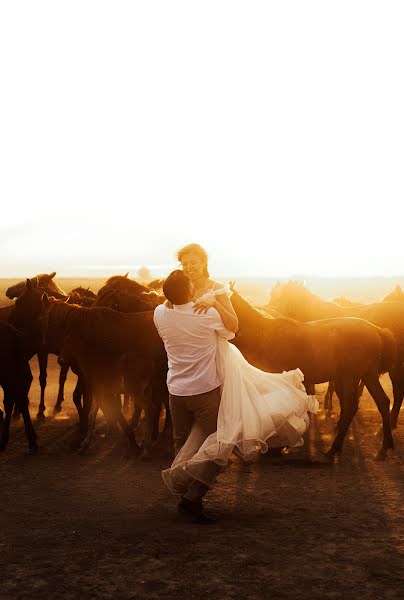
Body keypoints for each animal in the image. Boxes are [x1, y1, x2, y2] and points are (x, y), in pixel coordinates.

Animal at [229, 288, 396, 462]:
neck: (262, 335)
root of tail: (377, 330)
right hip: (367, 376)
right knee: (382, 403)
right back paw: (384, 447)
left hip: (351, 377)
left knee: (351, 407)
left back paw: (334, 449)